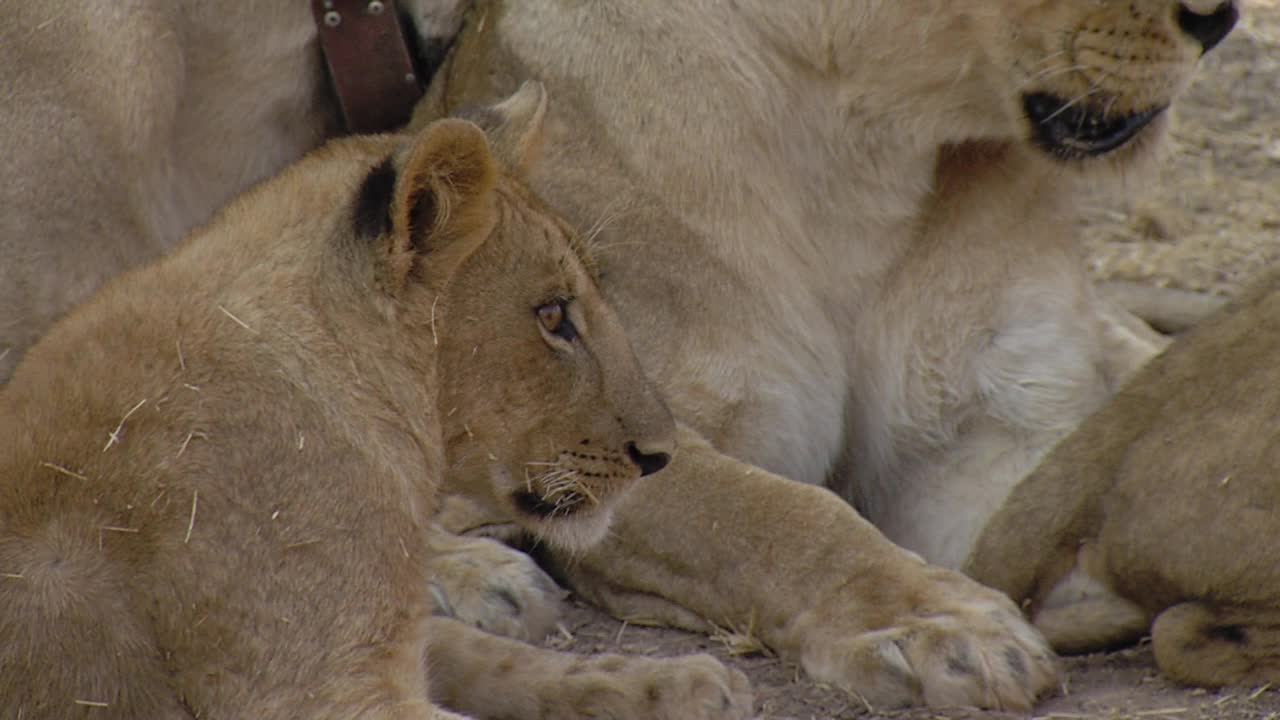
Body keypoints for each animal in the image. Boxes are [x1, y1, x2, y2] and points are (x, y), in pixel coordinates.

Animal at [407, 0, 1228, 707]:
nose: (1219, 19)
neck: (859, 152)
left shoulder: (985, 427)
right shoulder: (588, 429)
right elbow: (771, 515)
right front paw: (931, 624)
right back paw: (480, 575)